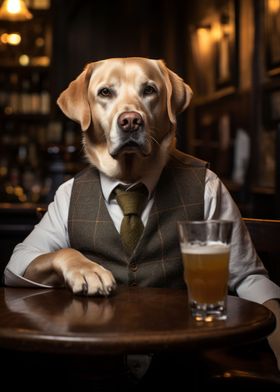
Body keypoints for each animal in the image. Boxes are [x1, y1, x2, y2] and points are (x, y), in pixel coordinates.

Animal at [24, 56, 192, 296]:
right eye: (105, 92)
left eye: (149, 90)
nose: (131, 121)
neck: (129, 177)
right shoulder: (27, 252)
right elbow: (61, 250)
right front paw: (88, 270)